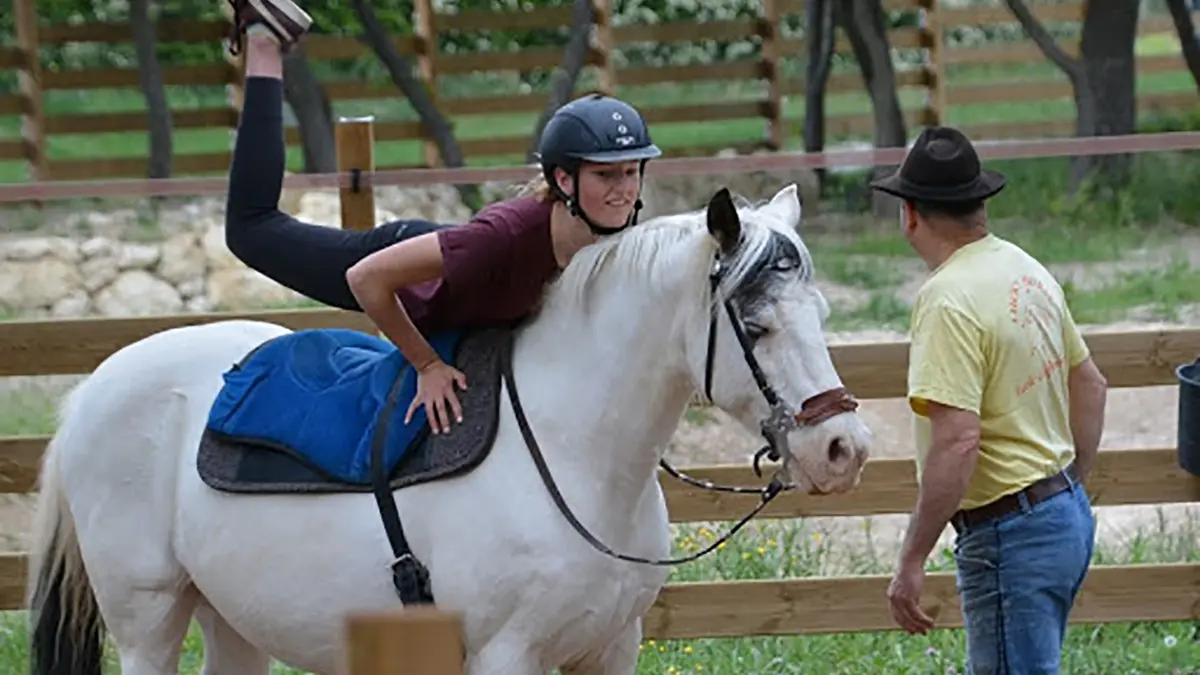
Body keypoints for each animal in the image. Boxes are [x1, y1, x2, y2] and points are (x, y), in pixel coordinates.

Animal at [26, 184, 873, 675]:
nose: (843, 449)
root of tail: (93, 390)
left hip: (229, 616)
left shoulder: (611, 649)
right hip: (146, 619)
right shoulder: (505, 655)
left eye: (823, 313)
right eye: (756, 326)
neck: (571, 452)